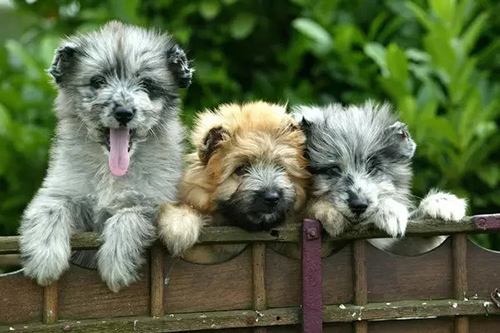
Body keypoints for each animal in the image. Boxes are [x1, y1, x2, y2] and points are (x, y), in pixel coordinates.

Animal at [18, 21, 193, 290]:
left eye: (146, 84)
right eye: (98, 81)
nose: (124, 112)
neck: (111, 172)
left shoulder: (154, 201)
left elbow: (129, 215)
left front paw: (116, 262)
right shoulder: (61, 190)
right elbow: (49, 208)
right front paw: (45, 257)